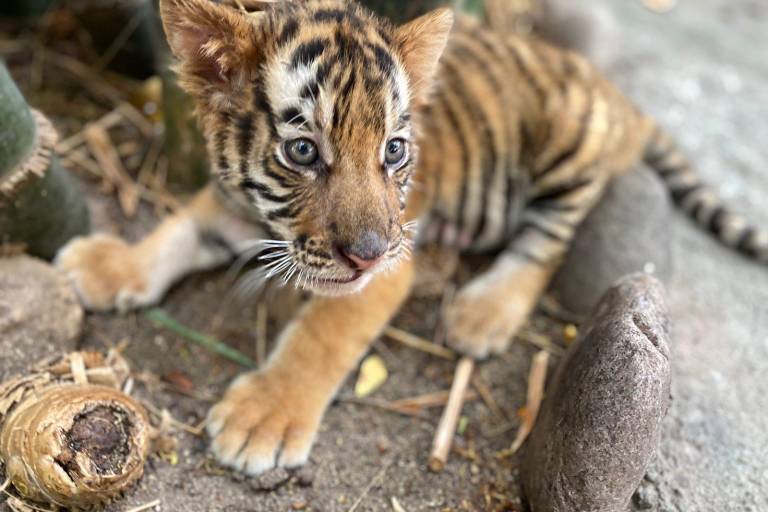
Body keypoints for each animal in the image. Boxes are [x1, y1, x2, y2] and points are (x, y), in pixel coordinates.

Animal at [56, 0, 768, 476]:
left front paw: (263, 417)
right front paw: (107, 266)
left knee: (553, 235)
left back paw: (483, 312)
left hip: (568, 143)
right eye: (302, 151)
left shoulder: (380, 273)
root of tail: (616, 95)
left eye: (393, 151)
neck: (263, 219)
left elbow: (322, 335)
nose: (368, 253)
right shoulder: (231, 202)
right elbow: (176, 229)